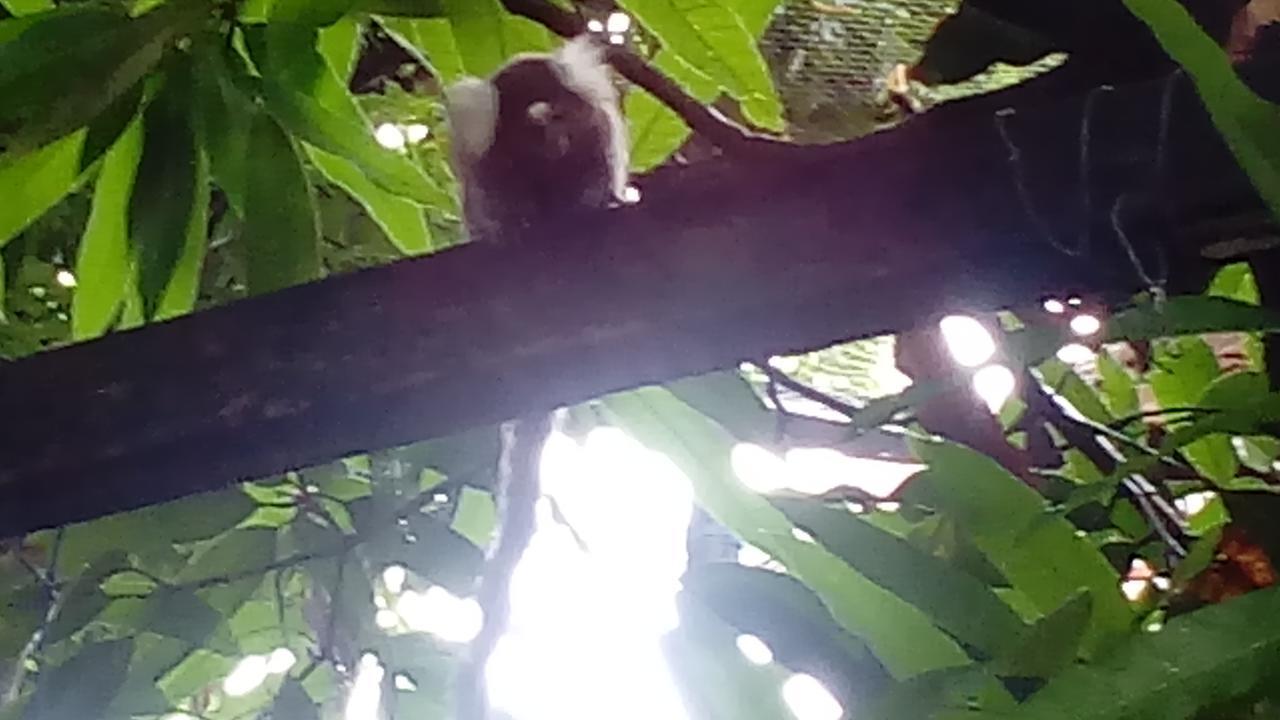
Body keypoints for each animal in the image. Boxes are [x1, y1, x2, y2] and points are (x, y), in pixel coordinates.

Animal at [442, 35, 632, 243]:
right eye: (530, 129)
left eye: (558, 116)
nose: (556, 140)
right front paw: (513, 224)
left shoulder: (597, 134)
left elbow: (597, 176)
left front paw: (592, 202)